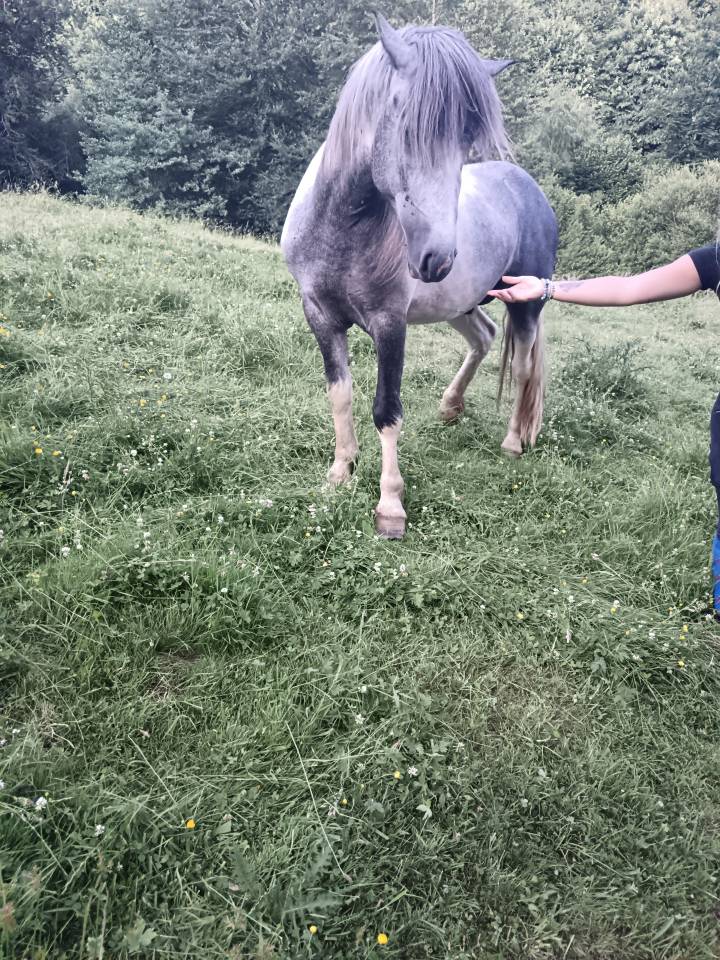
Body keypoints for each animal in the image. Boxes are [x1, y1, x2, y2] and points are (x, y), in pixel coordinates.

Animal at [281, 14, 558, 538]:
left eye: (467, 139)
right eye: (408, 126)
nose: (437, 258)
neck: (343, 226)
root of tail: (530, 190)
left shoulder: (390, 324)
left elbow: (386, 410)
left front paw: (390, 506)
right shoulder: (319, 315)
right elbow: (340, 395)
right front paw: (340, 474)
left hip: (527, 304)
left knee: (524, 367)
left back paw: (513, 441)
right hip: (463, 303)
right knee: (484, 337)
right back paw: (451, 406)